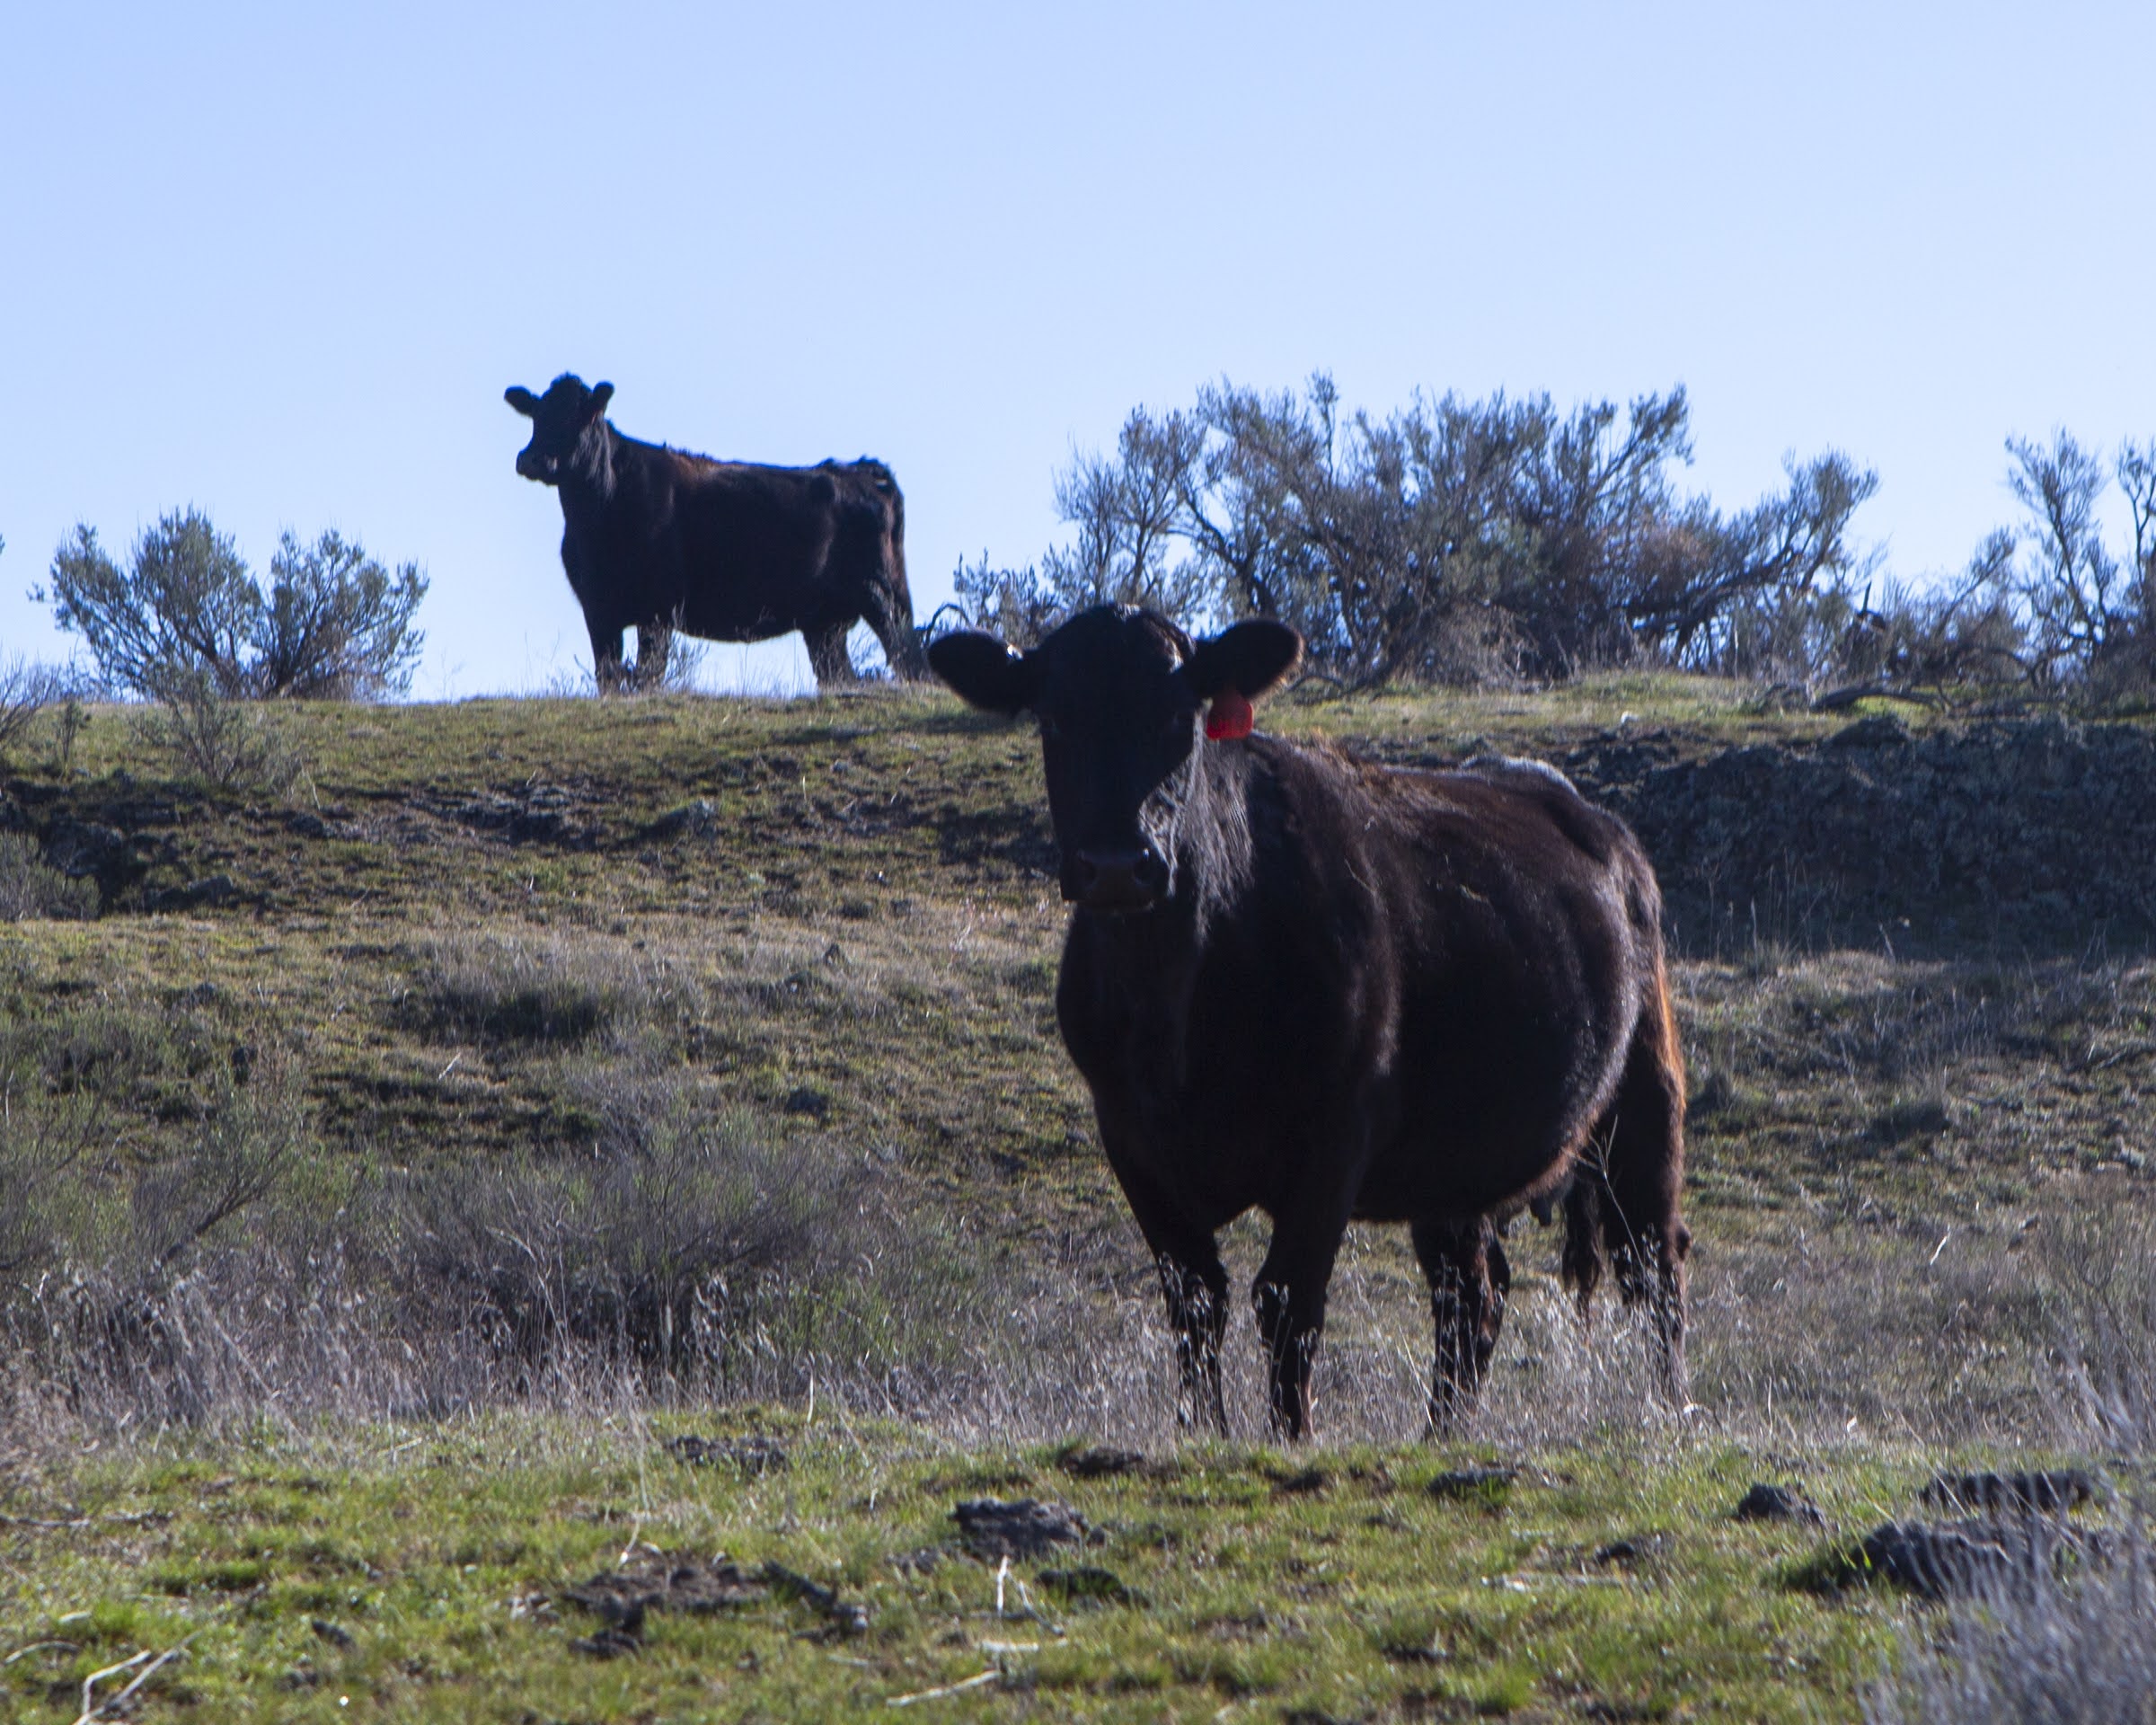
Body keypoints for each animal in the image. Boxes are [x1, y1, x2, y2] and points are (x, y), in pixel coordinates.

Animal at [505, 373, 928, 691]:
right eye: (536, 415)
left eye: (582, 416)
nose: (534, 459)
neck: (596, 520)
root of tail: (865, 469)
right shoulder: (597, 609)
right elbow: (607, 677)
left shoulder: (659, 609)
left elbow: (649, 675)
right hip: (825, 622)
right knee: (840, 674)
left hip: (885, 595)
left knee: (910, 659)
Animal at [928, 604, 1690, 1439]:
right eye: (1054, 719)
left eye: (1178, 719)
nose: (1119, 865)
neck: (1178, 1016)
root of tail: (1598, 823)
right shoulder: (1130, 1138)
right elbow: (1195, 1302)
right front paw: (1206, 1436)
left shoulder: (1334, 1135)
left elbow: (1288, 1303)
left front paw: (1290, 1440)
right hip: (1453, 1166)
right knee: (1473, 1294)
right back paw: (1439, 1437)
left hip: (1643, 1097)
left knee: (1653, 1267)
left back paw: (1671, 1420)